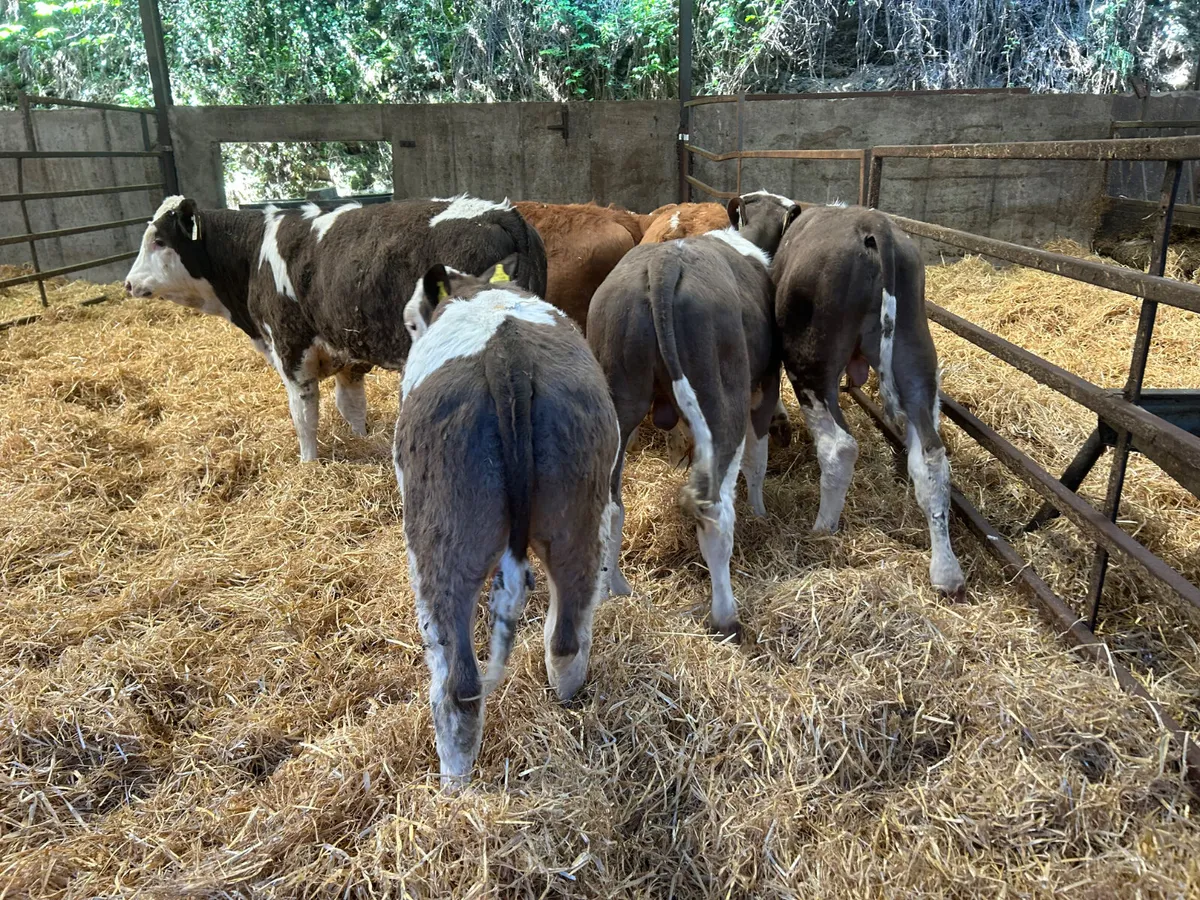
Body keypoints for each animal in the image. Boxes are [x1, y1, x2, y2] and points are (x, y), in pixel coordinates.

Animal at [124, 194, 547, 462]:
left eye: (159, 240)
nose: (128, 283)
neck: (253, 254)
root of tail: (502, 213)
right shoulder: (349, 352)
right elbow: (351, 406)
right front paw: (361, 441)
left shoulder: (291, 350)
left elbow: (304, 416)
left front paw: (308, 466)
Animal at [394, 255, 619, 786]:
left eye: (412, 323)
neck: (478, 290)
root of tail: (506, 359)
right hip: (579, 517)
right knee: (567, 637)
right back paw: (567, 701)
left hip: (440, 542)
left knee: (457, 685)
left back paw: (454, 787)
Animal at [586, 191, 799, 639]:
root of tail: (663, 264)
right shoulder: (767, 382)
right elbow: (757, 461)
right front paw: (761, 512)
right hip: (722, 398)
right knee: (715, 509)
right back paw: (725, 615)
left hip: (618, 399)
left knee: (610, 505)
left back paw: (614, 590)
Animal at [772, 204, 966, 600]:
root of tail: (872, 223)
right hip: (913, 356)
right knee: (930, 457)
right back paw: (946, 572)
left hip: (810, 364)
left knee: (839, 446)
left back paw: (821, 529)